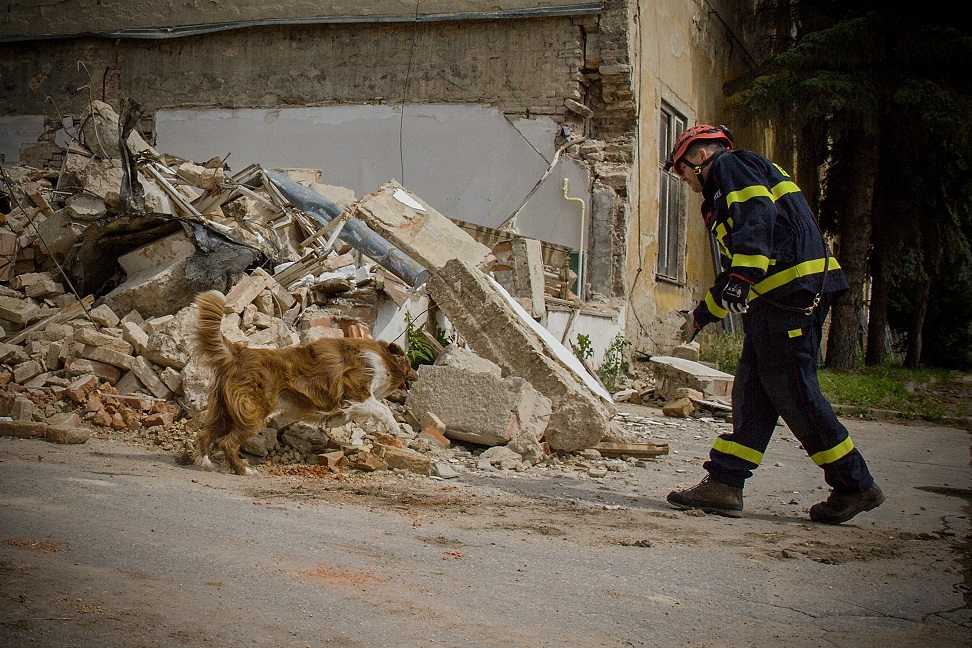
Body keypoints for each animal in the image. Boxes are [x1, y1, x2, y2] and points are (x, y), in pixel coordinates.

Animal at [192, 292, 416, 474]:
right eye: (409, 364)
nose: (417, 375)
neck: (382, 359)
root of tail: (239, 353)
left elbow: (346, 413)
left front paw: (335, 420)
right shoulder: (357, 390)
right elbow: (382, 409)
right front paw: (395, 428)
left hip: (225, 411)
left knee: (204, 435)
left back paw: (207, 463)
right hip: (252, 413)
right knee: (228, 443)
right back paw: (243, 470)